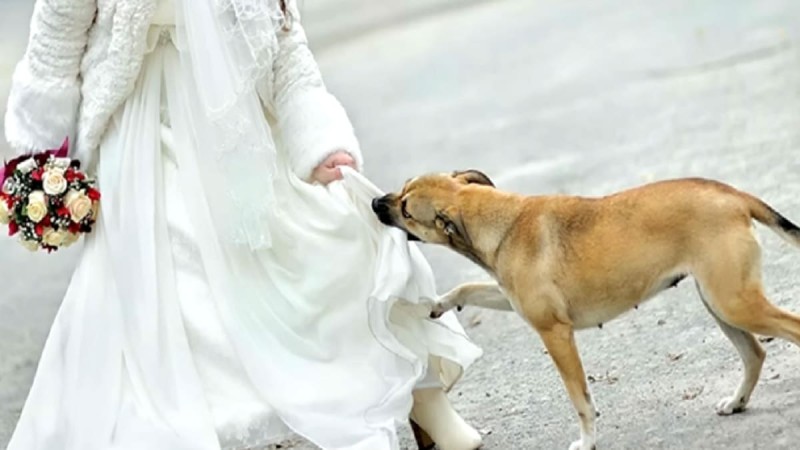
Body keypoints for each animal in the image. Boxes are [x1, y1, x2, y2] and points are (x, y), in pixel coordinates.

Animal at [372, 170, 800, 450]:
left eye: (406, 210)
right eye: (403, 191)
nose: (376, 202)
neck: (500, 222)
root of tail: (732, 193)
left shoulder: (556, 335)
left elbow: (581, 401)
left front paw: (587, 441)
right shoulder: (510, 298)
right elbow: (470, 288)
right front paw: (436, 304)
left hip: (736, 302)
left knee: (788, 330)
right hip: (721, 304)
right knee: (755, 353)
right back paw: (737, 402)